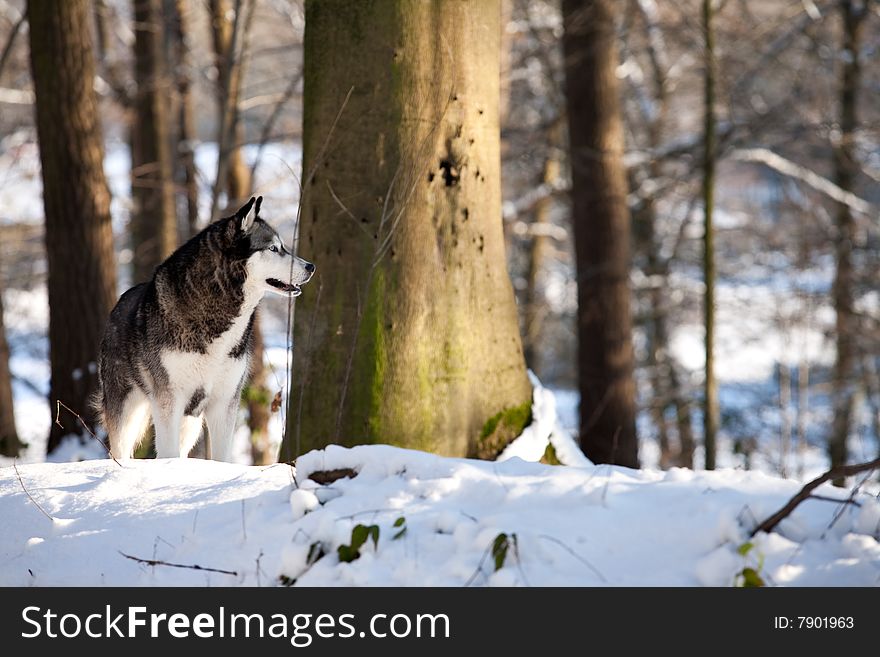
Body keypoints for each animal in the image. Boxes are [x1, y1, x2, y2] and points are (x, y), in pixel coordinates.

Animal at [97, 197, 312, 458]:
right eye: (273, 248)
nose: (311, 267)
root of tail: (118, 304)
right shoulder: (169, 400)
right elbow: (168, 455)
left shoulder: (225, 403)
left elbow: (222, 459)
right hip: (126, 412)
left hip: (191, 422)